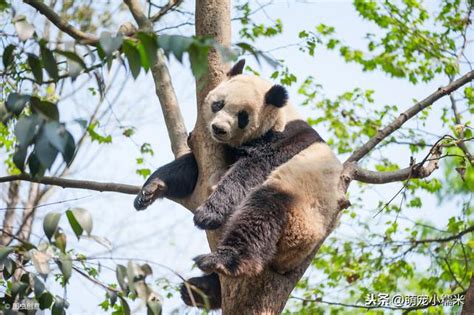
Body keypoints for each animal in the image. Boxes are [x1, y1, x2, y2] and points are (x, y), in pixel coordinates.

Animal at [133, 60, 344, 310]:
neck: (281, 117)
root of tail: (286, 261)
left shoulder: (283, 142)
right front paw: (151, 190)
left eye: (242, 116)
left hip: (299, 214)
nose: (219, 129)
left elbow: (248, 172)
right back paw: (201, 290)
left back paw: (221, 262)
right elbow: (190, 170)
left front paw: (208, 214)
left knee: (260, 215)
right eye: (218, 104)